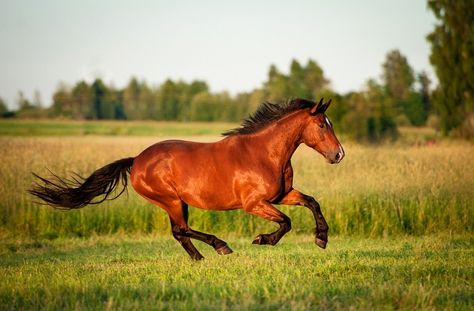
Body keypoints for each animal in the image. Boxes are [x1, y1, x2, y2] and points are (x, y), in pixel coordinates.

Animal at [28, 98, 344, 260]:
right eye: (321, 124)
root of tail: (136, 160)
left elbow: (312, 202)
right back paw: (220, 247)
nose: (339, 154)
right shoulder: (254, 203)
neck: (264, 153)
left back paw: (200, 258)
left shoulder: (281, 196)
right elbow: (286, 222)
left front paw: (322, 238)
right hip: (171, 200)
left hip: (176, 202)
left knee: (180, 232)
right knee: (181, 230)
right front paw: (262, 239)